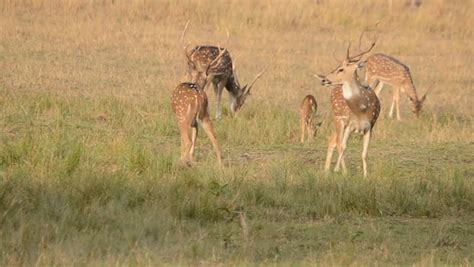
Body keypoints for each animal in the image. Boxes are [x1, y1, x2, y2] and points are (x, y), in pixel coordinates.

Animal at [314, 35, 382, 178]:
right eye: (337, 66)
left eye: (341, 69)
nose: (324, 80)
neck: (361, 110)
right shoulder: (350, 125)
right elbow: (343, 147)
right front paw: (339, 170)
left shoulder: (370, 126)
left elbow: (364, 153)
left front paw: (365, 176)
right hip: (338, 119)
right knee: (338, 143)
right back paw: (337, 170)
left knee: (332, 140)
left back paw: (326, 170)